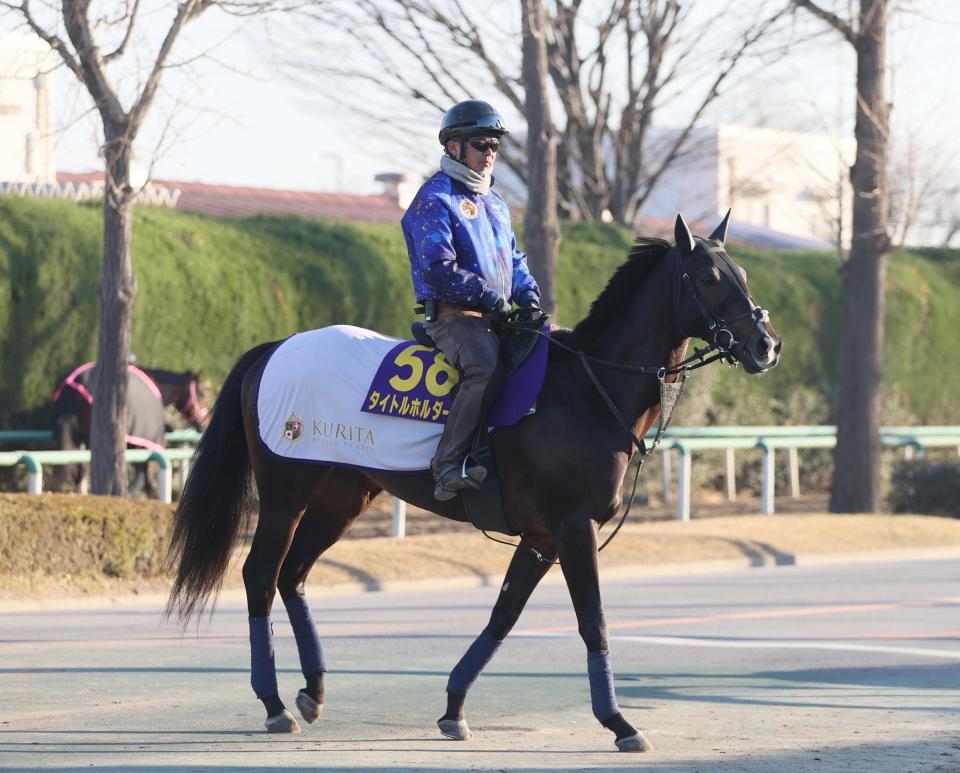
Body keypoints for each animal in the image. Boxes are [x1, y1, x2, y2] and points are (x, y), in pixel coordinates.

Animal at [165, 214, 780, 752]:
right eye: (709, 278)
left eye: (745, 274)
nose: (766, 345)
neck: (588, 388)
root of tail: (275, 348)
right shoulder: (572, 528)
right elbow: (594, 622)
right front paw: (618, 722)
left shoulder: (542, 538)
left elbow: (503, 617)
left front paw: (454, 708)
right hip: (285, 493)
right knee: (259, 575)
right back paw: (272, 702)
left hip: (344, 495)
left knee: (293, 575)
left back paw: (313, 690)